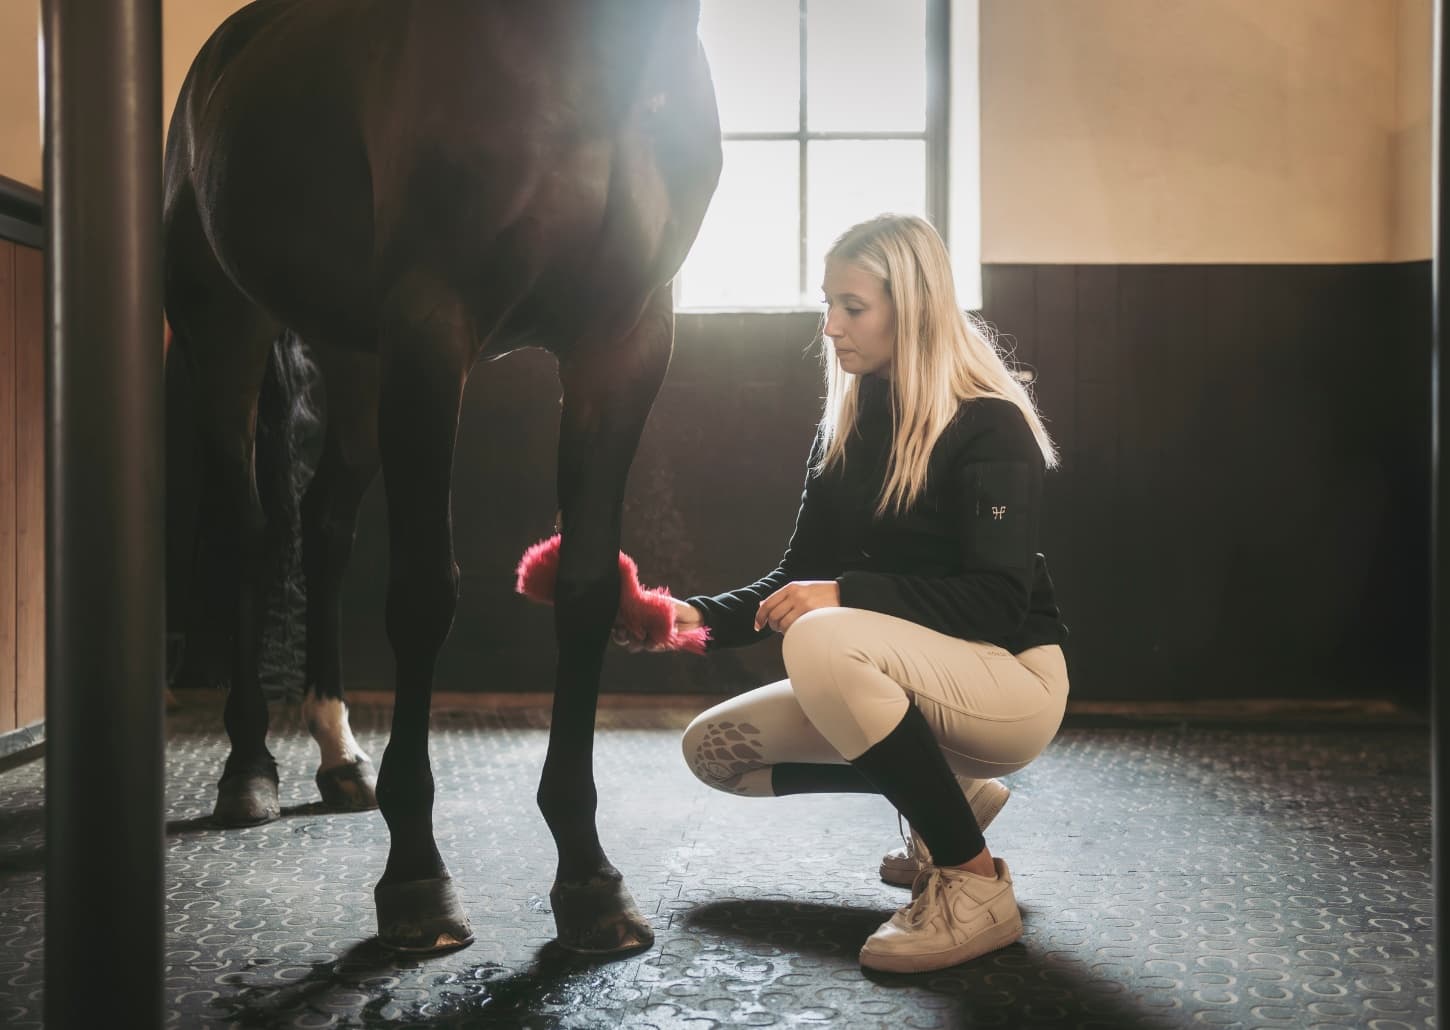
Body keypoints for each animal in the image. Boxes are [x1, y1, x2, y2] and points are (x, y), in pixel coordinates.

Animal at [163, 0, 719, 957]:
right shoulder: (432, 324)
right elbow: (424, 596)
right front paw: (416, 879)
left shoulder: (623, 342)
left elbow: (586, 588)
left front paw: (589, 877)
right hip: (229, 337)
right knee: (249, 533)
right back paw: (249, 769)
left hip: (356, 359)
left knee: (324, 528)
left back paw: (339, 755)